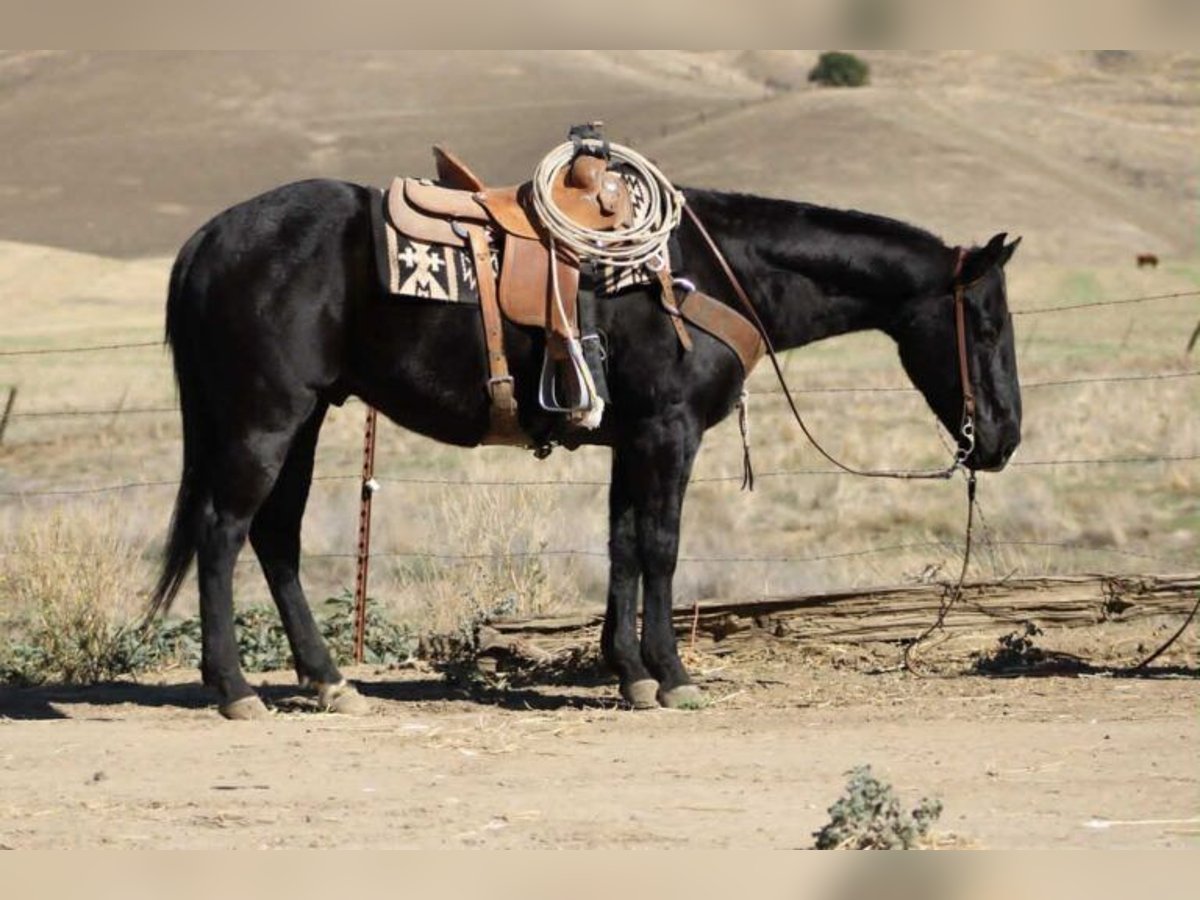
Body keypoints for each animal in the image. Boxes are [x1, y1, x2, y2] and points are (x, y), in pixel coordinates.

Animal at [150, 178, 1022, 719]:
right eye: (985, 325)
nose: (1005, 437)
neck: (710, 275)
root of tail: (211, 238)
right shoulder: (668, 433)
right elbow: (662, 547)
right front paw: (672, 676)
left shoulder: (630, 440)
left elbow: (624, 545)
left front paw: (627, 672)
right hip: (264, 419)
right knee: (224, 534)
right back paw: (234, 688)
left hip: (302, 421)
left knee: (276, 538)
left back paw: (328, 681)